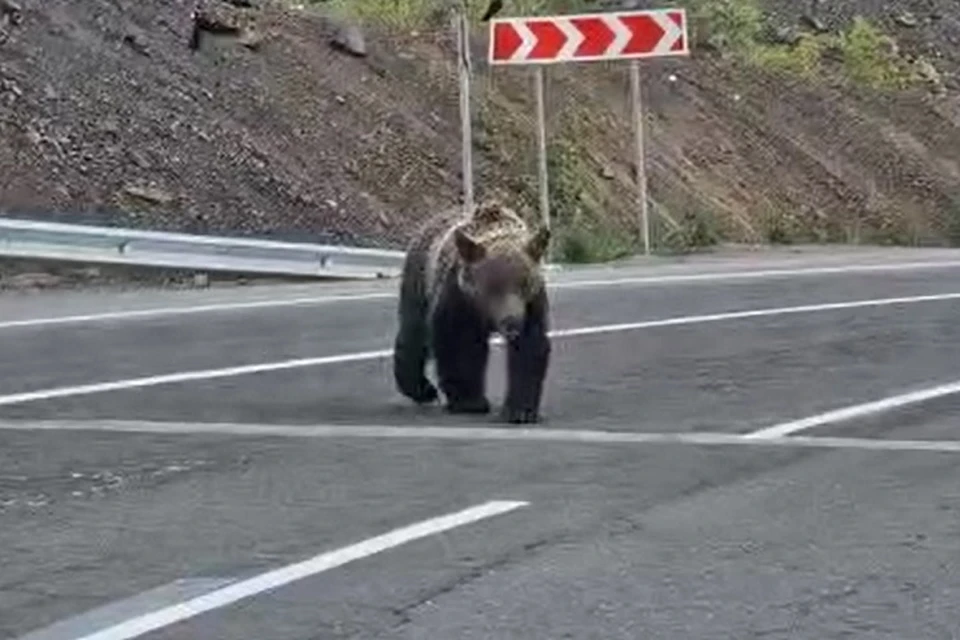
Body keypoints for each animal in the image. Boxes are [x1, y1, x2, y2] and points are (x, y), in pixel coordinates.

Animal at [394, 198, 552, 422]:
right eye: (492, 287)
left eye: (524, 284)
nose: (511, 322)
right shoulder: (460, 299)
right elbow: (460, 345)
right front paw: (469, 401)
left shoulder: (531, 305)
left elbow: (529, 348)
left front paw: (520, 410)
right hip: (419, 279)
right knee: (413, 332)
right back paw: (422, 389)